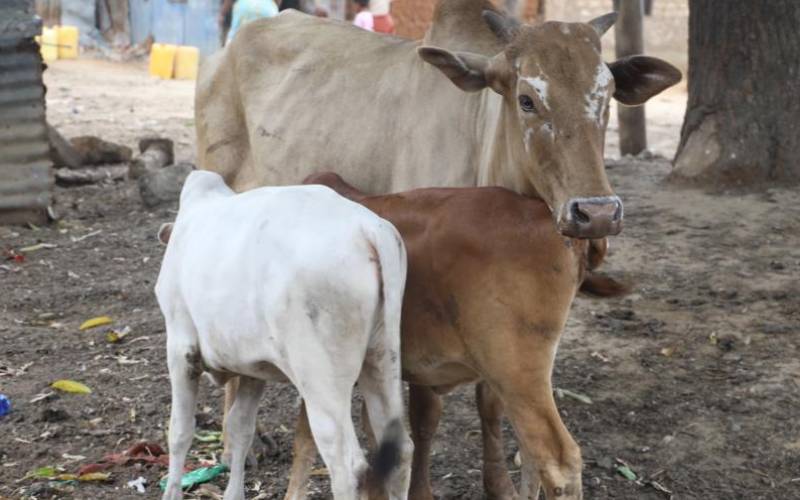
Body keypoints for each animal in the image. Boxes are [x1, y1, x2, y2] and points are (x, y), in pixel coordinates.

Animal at [155, 171, 413, 500]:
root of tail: (368, 230)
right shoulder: (252, 367)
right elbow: (240, 427)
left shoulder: (180, 349)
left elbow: (180, 430)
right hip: (382, 359)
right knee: (401, 450)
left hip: (321, 379)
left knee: (349, 466)